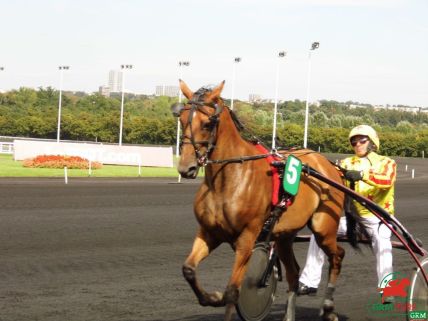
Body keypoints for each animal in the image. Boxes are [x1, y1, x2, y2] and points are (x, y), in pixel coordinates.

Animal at [174, 79, 348, 320]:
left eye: (208, 123)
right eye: (181, 119)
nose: (186, 168)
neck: (226, 181)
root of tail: (328, 165)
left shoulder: (247, 238)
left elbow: (233, 290)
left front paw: (223, 298)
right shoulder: (209, 232)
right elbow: (188, 269)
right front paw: (212, 297)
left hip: (324, 227)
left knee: (337, 255)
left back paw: (329, 308)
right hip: (284, 234)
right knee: (293, 273)